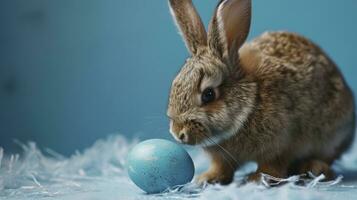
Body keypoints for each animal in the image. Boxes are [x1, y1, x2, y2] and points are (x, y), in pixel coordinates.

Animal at [166, 0, 354, 184]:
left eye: (208, 94)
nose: (178, 133)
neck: (249, 104)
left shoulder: (281, 144)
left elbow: (272, 164)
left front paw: (258, 178)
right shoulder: (223, 157)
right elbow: (222, 167)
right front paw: (207, 178)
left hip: (332, 135)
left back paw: (314, 168)